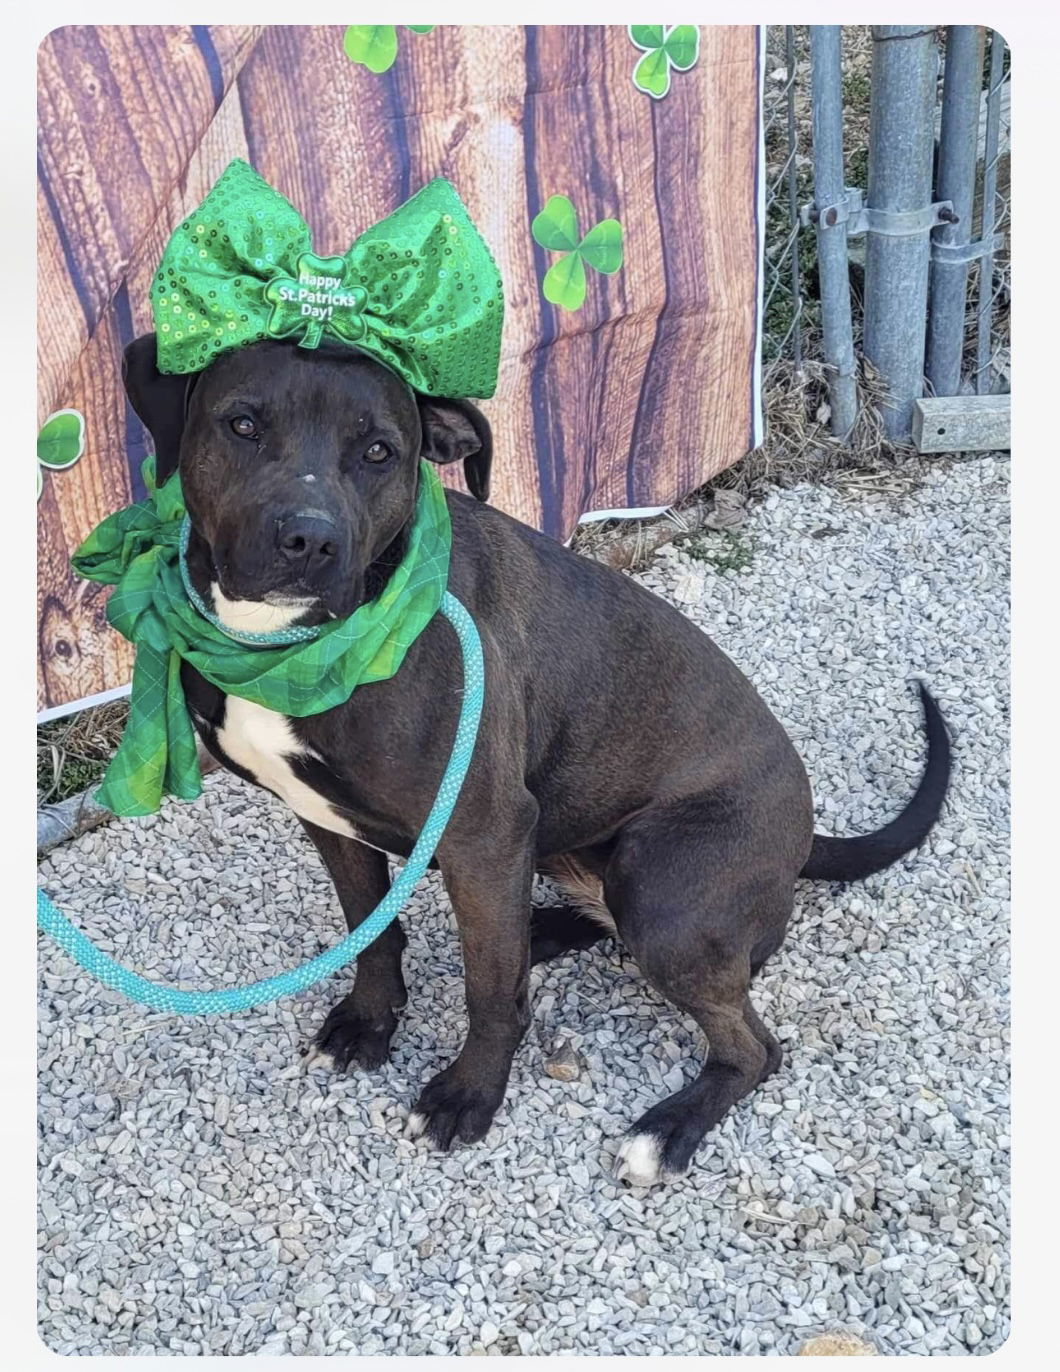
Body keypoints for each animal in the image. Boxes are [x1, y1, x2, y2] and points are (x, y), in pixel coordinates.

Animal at [119, 334, 948, 1190]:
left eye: (380, 452)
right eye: (242, 424)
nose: (310, 541)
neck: (291, 649)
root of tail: (806, 835)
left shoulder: (485, 834)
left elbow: (491, 991)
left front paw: (468, 1094)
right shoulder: (328, 819)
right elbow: (371, 931)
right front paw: (370, 1022)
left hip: (664, 893)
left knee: (754, 1046)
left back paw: (668, 1129)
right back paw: (547, 928)